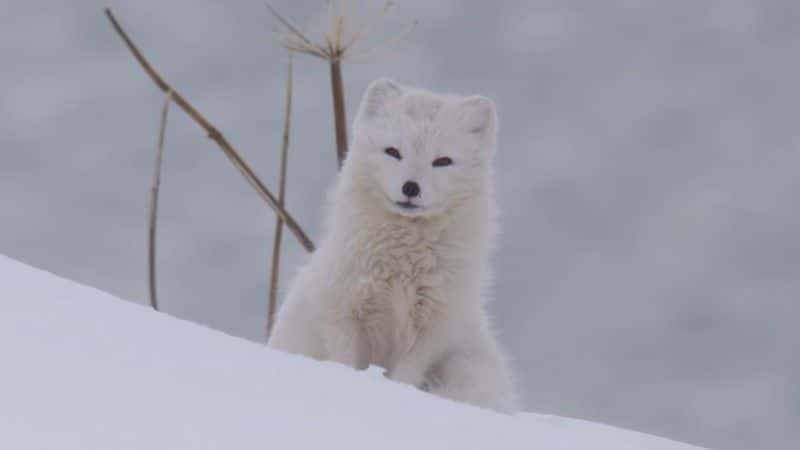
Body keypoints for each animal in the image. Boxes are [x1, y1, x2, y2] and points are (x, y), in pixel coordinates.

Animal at [268, 78, 520, 412]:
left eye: (442, 161)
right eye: (393, 152)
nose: (410, 188)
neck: (404, 263)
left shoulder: (432, 328)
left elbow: (405, 377)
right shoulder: (342, 312)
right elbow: (345, 362)